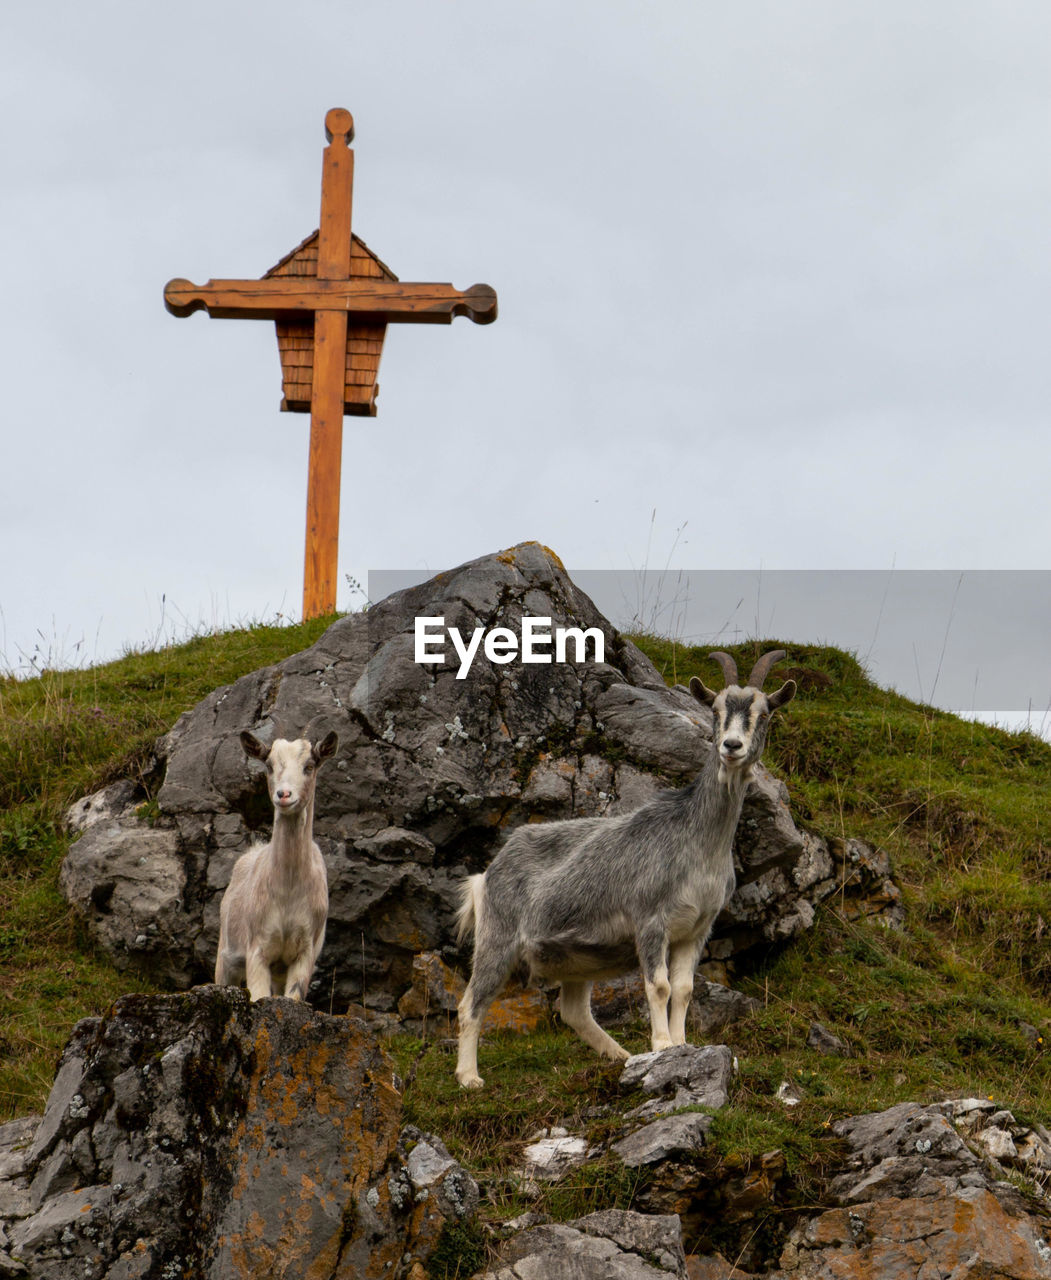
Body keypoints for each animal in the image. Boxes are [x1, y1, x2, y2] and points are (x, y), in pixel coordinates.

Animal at [453, 655, 793, 1085]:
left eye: (763, 714)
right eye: (715, 710)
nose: (731, 746)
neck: (698, 845)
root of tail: (485, 876)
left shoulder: (696, 930)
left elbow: (684, 989)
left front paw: (683, 1044)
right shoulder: (650, 920)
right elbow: (659, 987)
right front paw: (662, 1046)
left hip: (575, 959)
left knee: (574, 1012)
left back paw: (619, 1055)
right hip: (497, 937)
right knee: (471, 1004)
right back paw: (469, 1077)